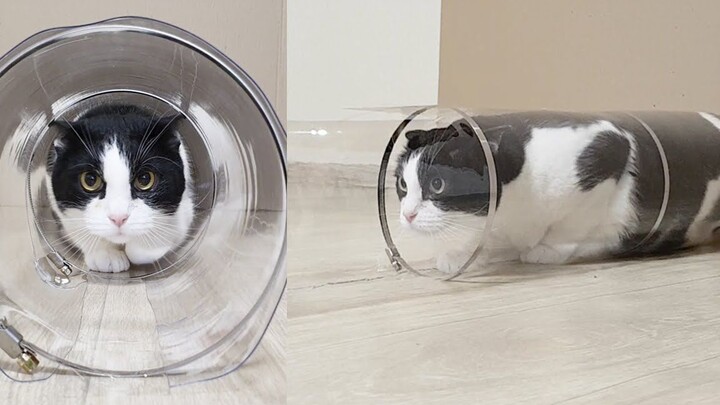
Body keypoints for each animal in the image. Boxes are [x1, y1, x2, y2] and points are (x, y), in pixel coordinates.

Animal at [46, 105, 195, 272]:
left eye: (145, 179)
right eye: (90, 180)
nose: (118, 218)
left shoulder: (184, 207)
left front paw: (142, 247)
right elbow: (78, 225)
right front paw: (106, 255)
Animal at [394, 112, 720, 274]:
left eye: (437, 184)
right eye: (402, 185)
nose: (407, 214)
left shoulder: (607, 151)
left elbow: (572, 223)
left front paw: (545, 249)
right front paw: (462, 254)